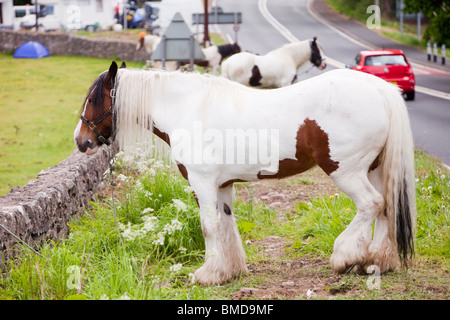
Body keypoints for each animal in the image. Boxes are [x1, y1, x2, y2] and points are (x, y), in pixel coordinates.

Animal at [73, 60, 414, 284]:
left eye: (92, 99)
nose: (81, 141)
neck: (188, 108)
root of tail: (379, 88)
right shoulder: (222, 186)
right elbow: (226, 224)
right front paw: (229, 271)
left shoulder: (202, 183)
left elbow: (209, 227)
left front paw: (207, 274)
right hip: (375, 169)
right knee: (385, 208)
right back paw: (376, 262)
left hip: (346, 172)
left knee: (371, 204)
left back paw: (346, 256)